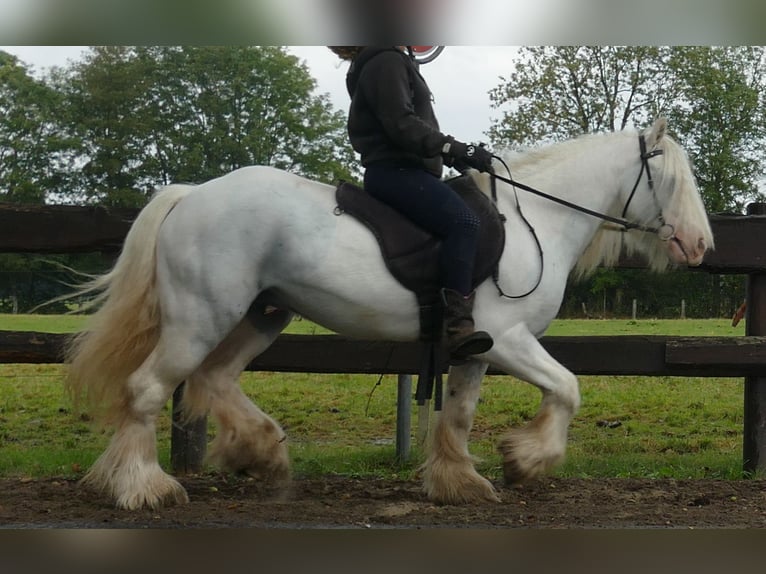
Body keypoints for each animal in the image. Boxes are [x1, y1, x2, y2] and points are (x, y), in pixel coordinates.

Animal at [64, 116, 712, 508]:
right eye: (670, 179)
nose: (701, 246)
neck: (538, 220)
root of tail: (192, 195)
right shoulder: (508, 339)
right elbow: (569, 387)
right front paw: (527, 462)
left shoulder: (477, 348)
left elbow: (459, 414)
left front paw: (460, 481)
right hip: (200, 319)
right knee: (149, 389)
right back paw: (145, 487)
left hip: (262, 314)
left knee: (216, 379)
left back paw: (261, 453)